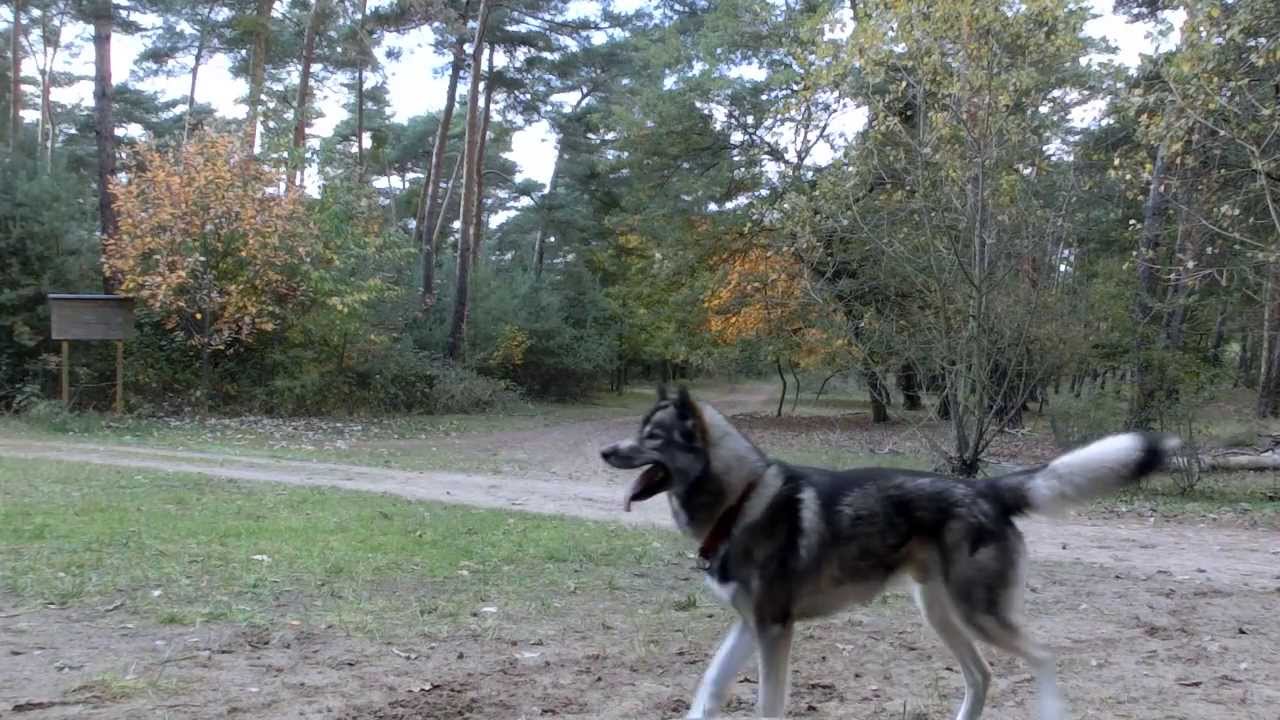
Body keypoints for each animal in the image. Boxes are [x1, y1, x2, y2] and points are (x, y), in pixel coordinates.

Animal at [599, 386, 1177, 717]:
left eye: (651, 437)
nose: (605, 450)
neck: (739, 501)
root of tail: (986, 489)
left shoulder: (773, 630)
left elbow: (767, 705)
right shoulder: (749, 625)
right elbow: (709, 688)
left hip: (980, 616)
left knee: (1043, 659)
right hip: (941, 616)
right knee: (981, 676)